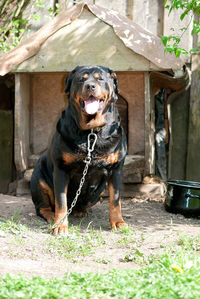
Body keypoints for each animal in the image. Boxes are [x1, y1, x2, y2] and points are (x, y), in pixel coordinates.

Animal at [30, 65, 127, 234]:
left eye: (100, 78)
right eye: (82, 79)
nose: (90, 86)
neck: (91, 133)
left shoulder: (116, 168)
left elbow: (115, 200)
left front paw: (118, 222)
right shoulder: (61, 169)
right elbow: (61, 201)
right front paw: (60, 225)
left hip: (100, 190)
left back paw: (80, 210)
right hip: (38, 179)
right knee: (42, 206)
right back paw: (51, 216)